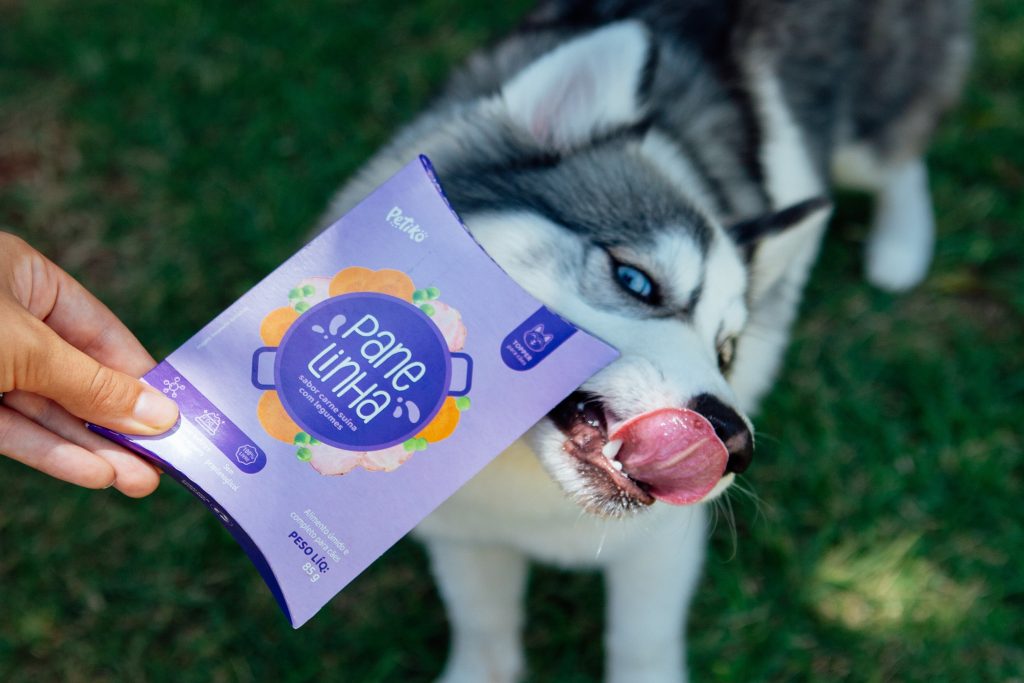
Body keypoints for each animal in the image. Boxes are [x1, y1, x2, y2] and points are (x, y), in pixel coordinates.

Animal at [317, 2, 966, 679]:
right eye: (636, 280)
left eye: (726, 352)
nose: (733, 441)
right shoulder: (466, 537)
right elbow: (483, 629)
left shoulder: (659, 556)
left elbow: (642, 643)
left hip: (871, 134)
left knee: (903, 159)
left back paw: (901, 246)